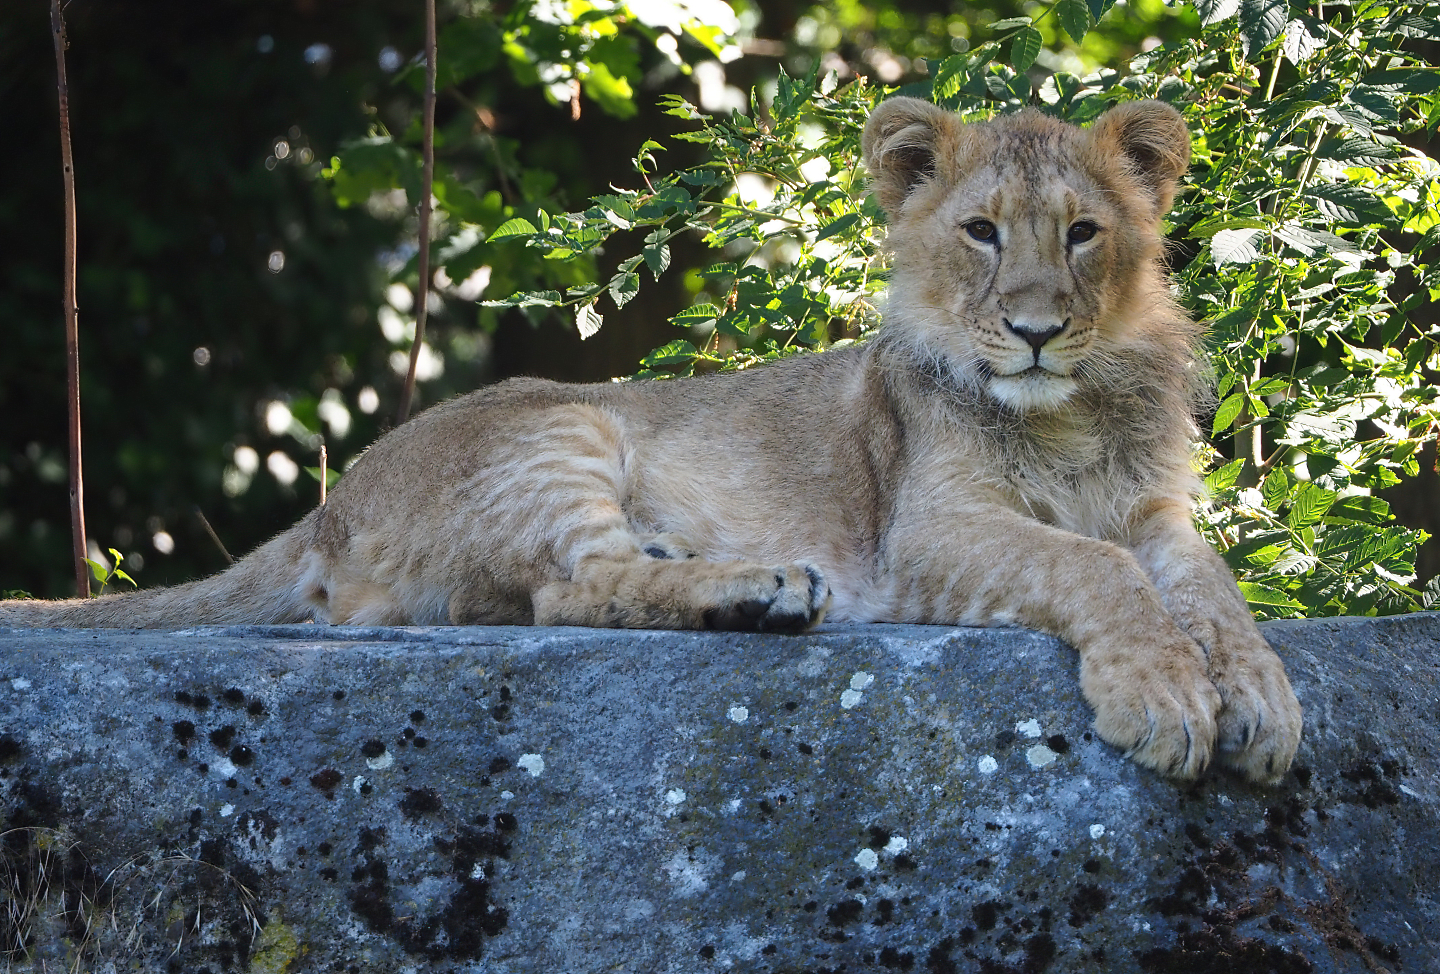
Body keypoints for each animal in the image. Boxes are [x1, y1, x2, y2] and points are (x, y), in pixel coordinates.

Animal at [0, 97, 1302, 783]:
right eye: (982, 232)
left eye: (1082, 234)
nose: (1034, 331)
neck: (1069, 410)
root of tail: (331, 503)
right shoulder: (929, 531)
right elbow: (1095, 567)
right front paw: (1165, 698)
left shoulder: (1156, 509)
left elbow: (1209, 586)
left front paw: (1261, 699)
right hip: (561, 425)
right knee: (569, 592)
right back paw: (763, 587)